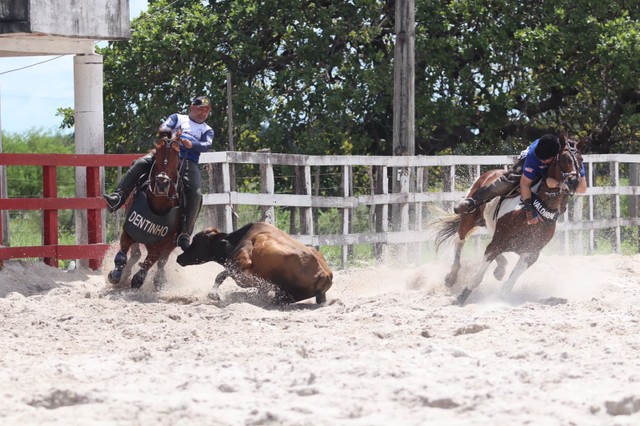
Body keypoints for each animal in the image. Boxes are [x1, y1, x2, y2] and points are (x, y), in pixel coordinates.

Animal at [107, 131, 182, 290]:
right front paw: (116, 274)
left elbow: (151, 261)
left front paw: (138, 279)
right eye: (157, 152)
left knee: (161, 262)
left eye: (177, 153)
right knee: (136, 255)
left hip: (172, 243)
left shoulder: (163, 243)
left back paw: (159, 280)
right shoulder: (130, 228)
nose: (162, 183)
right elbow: (123, 254)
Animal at [176, 221, 336, 304]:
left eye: (196, 242)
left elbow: (220, 275)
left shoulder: (240, 262)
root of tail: (324, 273)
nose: (179, 258)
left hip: (287, 294)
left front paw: (213, 295)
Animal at [436, 137, 584, 306]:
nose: (574, 182)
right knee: (459, 240)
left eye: (581, 159)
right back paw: (451, 277)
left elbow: (510, 282)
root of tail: (489, 173)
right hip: (469, 218)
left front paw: (501, 297)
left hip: (488, 223)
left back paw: (500, 268)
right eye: (564, 159)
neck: (536, 208)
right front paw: (461, 297)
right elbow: (478, 277)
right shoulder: (498, 244)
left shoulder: (531, 254)